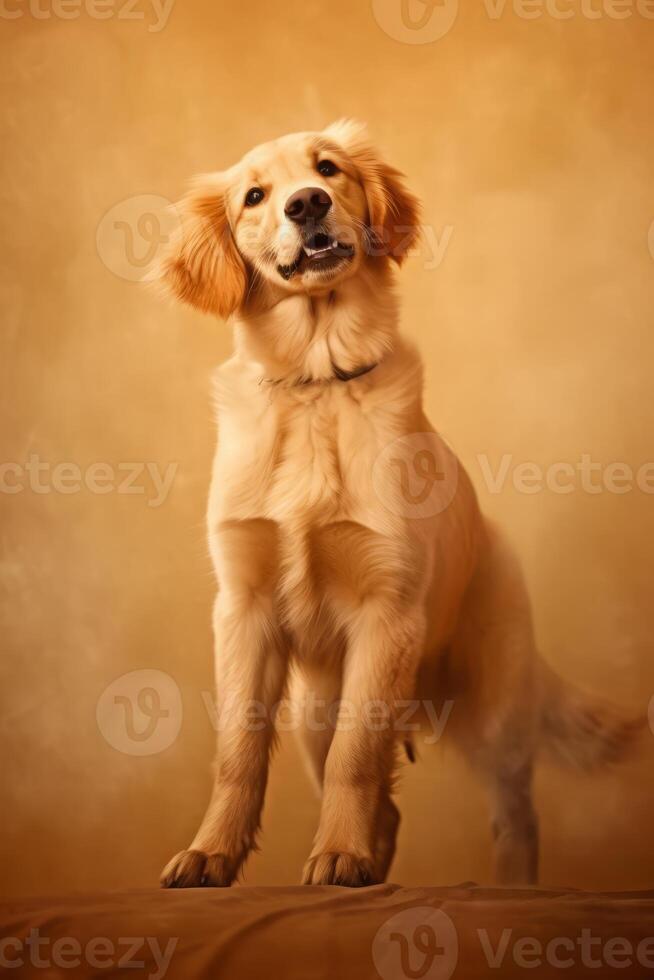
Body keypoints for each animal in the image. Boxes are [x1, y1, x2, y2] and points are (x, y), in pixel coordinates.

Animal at [158, 120, 640, 888]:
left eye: (329, 167)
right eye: (254, 196)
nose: (307, 203)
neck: (317, 381)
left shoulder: (386, 610)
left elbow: (357, 757)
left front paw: (338, 853)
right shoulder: (244, 609)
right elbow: (239, 753)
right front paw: (212, 852)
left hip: (494, 705)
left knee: (514, 813)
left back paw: (503, 884)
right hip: (313, 708)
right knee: (385, 803)